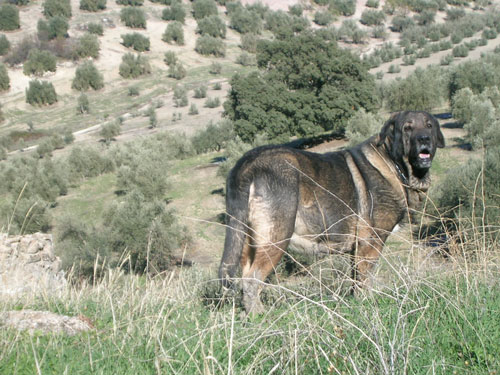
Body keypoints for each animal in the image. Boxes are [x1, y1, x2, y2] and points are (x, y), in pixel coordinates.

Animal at [219, 111, 446, 314]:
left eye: (429, 126)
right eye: (407, 128)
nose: (424, 139)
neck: (394, 163)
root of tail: (247, 163)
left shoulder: (357, 249)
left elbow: (356, 278)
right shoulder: (371, 243)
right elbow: (365, 279)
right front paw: (368, 303)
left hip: (247, 242)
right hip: (276, 238)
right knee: (252, 280)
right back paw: (259, 315)